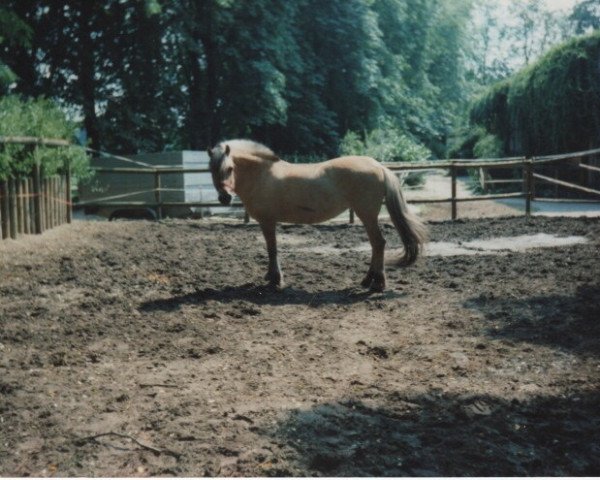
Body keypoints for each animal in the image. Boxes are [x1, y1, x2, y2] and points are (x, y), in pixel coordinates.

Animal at [207, 137, 426, 290]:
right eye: (211, 169)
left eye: (230, 168)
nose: (225, 198)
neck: (262, 175)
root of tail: (378, 166)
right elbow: (272, 249)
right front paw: (273, 278)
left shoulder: (267, 221)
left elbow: (272, 249)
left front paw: (275, 280)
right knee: (376, 245)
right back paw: (368, 281)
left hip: (367, 214)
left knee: (378, 243)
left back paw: (376, 283)